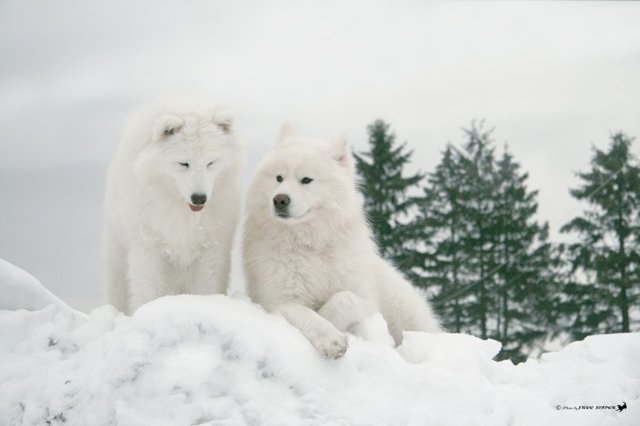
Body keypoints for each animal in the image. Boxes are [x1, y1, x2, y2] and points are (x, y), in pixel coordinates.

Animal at [104, 98, 241, 314]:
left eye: (211, 163)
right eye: (184, 163)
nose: (199, 198)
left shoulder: (212, 246)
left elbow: (207, 285)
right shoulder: (148, 243)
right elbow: (147, 287)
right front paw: (147, 310)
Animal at [241, 127, 440, 360]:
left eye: (306, 180)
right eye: (278, 178)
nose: (280, 199)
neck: (310, 243)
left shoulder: (365, 300)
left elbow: (344, 299)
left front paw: (327, 316)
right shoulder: (277, 299)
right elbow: (307, 315)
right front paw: (331, 339)